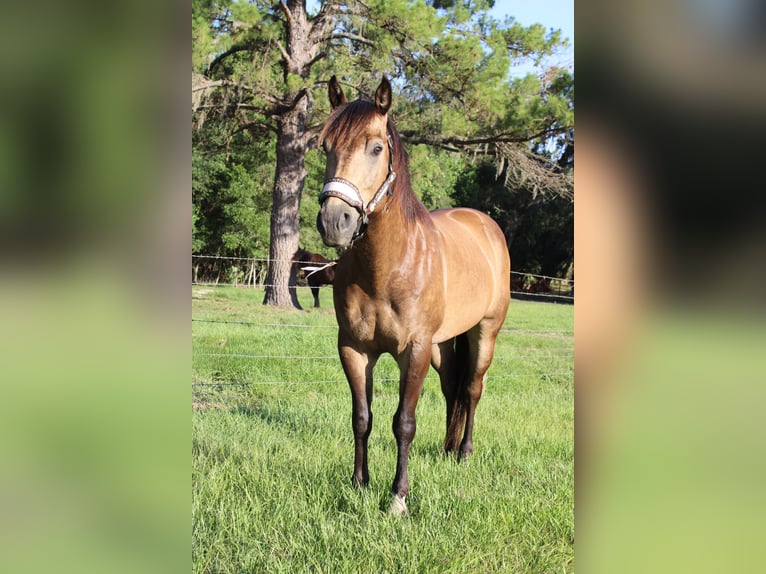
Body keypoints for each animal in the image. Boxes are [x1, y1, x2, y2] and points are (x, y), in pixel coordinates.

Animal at [316, 76, 511, 515]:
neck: (388, 266)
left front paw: (398, 498)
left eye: (376, 147)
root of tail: (485, 224)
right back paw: (447, 448)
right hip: (443, 346)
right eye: (325, 146)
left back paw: (464, 452)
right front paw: (359, 484)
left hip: (484, 333)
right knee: (452, 388)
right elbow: (362, 418)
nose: (335, 222)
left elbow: (403, 423)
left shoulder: (415, 350)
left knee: (472, 389)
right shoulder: (354, 349)